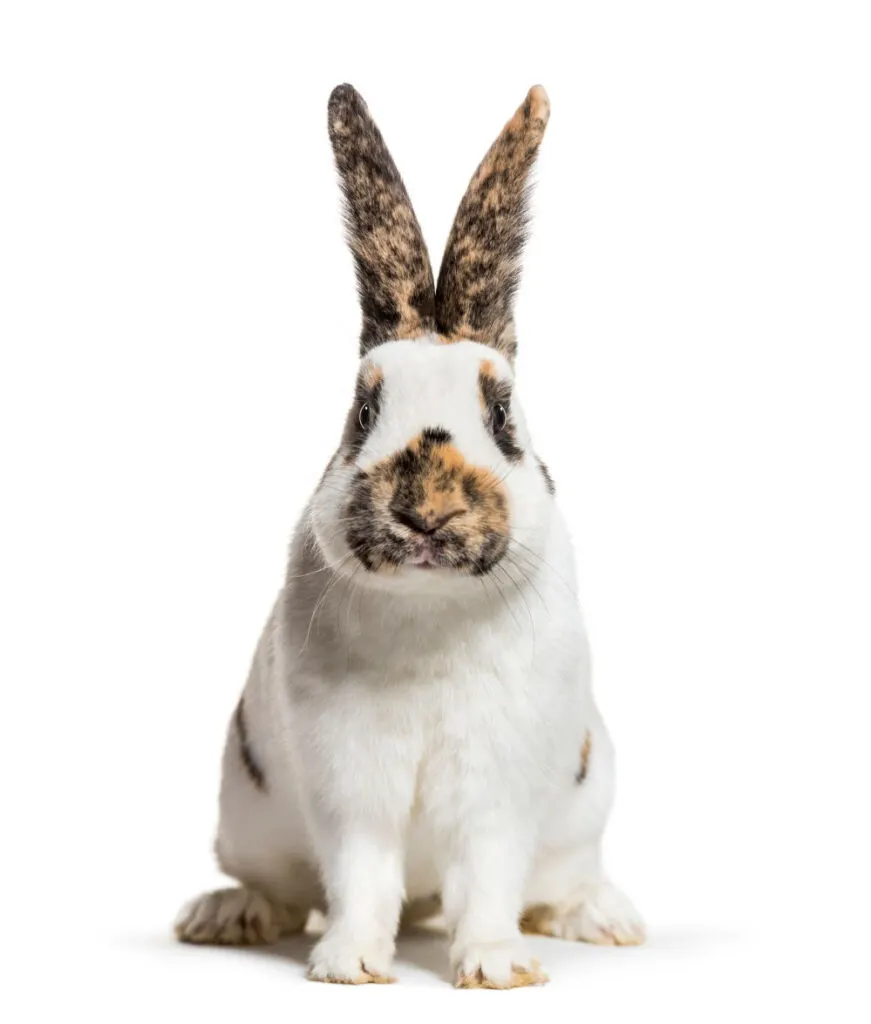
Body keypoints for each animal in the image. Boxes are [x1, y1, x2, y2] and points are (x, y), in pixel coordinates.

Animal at [173, 83, 642, 987]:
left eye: (502, 416)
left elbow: (489, 877)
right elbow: (360, 873)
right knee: (278, 883)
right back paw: (224, 915)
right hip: (248, 818)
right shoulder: (349, 780)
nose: (425, 510)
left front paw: (496, 968)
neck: (429, 609)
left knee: (556, 882)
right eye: (362, 413)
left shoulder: (497, 783)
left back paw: (603, 919)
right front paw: (348, 967)